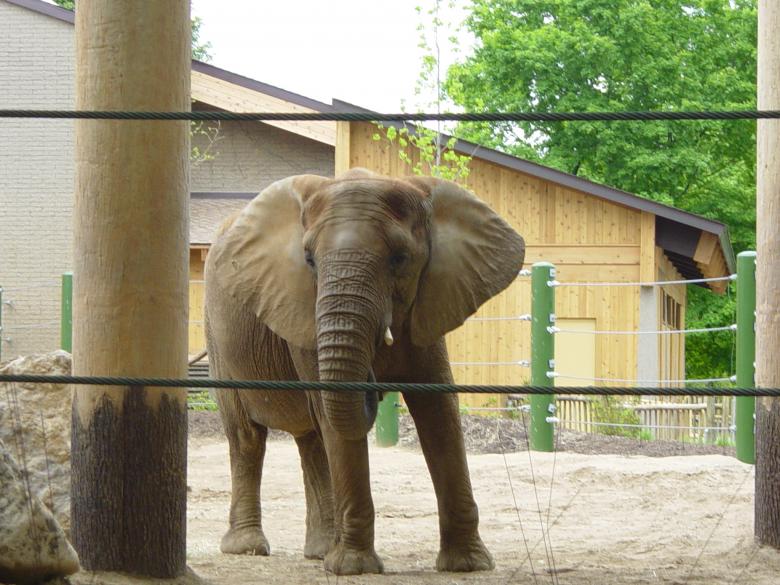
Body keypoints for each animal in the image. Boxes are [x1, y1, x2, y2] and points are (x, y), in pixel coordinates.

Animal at [204, 168, 525, 575]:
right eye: (308, 259)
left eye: (400, 259)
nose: (374, 381)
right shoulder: (304, 308)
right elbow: (336, 420)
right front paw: (354, 568)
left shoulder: (430, 300)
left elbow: (439, 411)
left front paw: (468, 564)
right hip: (218, 335)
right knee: (248, 435)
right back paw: (249, 548)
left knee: (312, 439)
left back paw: (321, 551)